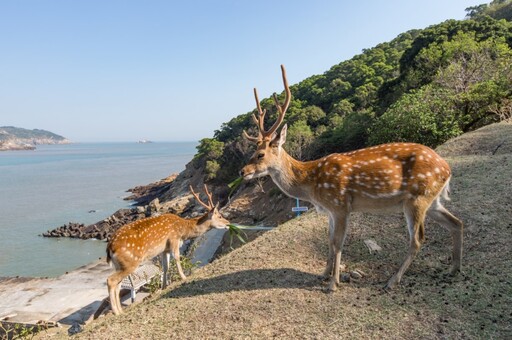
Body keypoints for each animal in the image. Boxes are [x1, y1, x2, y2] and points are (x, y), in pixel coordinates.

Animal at [106, 185, 228, 314]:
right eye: (219, 216)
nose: (228, 222)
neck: (183, 231)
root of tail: (110, 247)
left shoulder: (165, 249)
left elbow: (166, 267)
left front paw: (164, 286)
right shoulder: (174, 240)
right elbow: (177, 259)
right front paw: (184, 277)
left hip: (120, 265)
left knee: (118, 285)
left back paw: (121, 310)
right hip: (130, 262)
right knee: (111, 280)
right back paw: (116, 312)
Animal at [240, 65, 464, 290]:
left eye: (260, 154)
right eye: (252, 151)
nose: (242, 172)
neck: (312, 185)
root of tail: (446, 168)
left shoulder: (340, 205)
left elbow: (338, 243)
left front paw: (333, 283)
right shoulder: (330, 211)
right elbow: (329, 241)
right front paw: (323, 274)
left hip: (417, 198)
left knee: (417, 239)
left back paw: (393, 280)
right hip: (432, 200)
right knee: (456, 222)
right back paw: (454, 268)